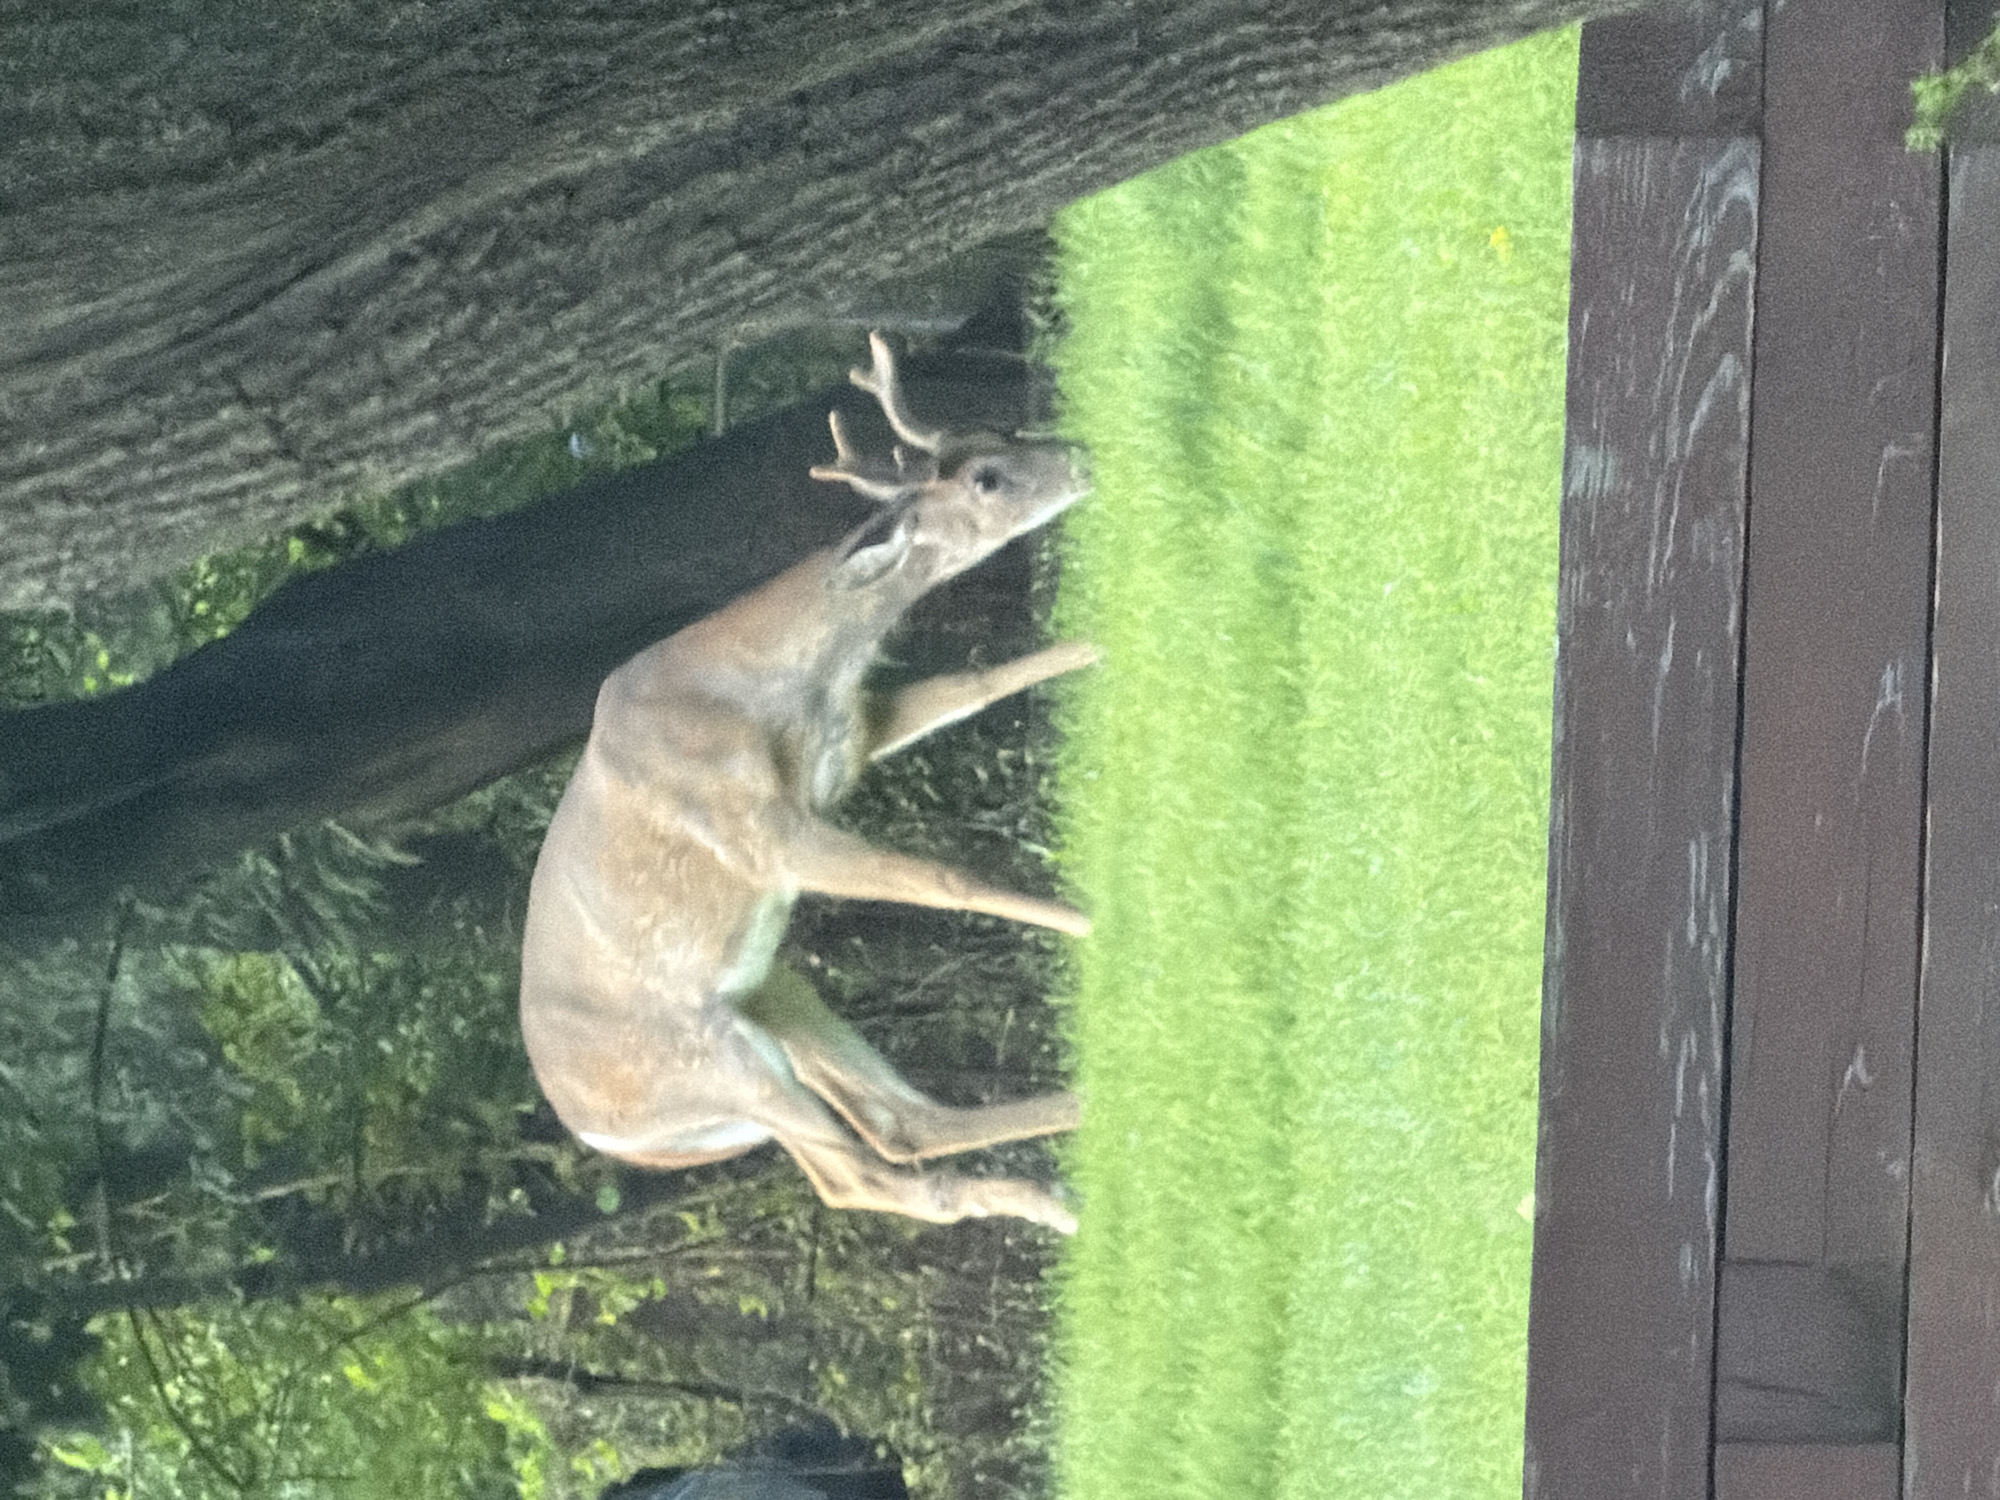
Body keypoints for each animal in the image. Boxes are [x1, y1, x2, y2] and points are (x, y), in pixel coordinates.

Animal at [518, 334, 1096, 1234]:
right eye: (986, 479)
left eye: (999, 430)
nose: (1078, 458)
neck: (760, 693)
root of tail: (603, 1135)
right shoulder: (766, 837)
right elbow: (941, 878)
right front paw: (1092, 924)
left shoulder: (845, 743)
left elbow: (978, 682)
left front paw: (1099, 648)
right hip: (715, 1064)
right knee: (860, 1175)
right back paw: (1061, 1193)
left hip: (769, 992)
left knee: (903, 1122)